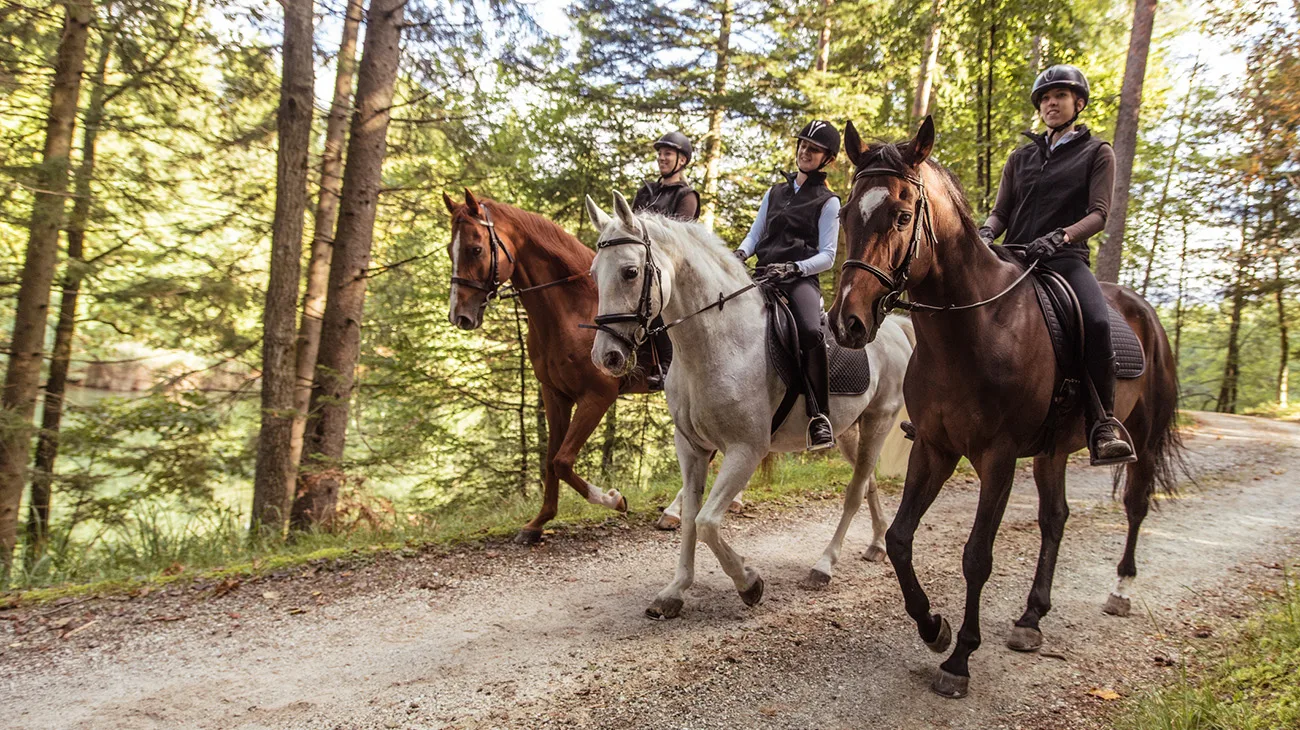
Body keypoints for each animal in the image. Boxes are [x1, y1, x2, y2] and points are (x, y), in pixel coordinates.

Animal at [444, 190, 647, 542]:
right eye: (449, 250)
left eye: (475, 249)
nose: (460, 316)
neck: (572, 309)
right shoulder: (555, 394)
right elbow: (552, 460)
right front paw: (538, 523)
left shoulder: (597, 396)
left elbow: (563, 461)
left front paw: (614, 499)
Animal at [590, 192, 915, 613]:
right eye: (594, 273)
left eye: (630, 272)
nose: (606, 357)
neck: (718, 342)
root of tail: (893, 328)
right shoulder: (691, 447)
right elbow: (692, 518)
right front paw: (675, 590)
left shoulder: (746, 449)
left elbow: (708, 522)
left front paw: (748, 582)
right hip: (847, 431)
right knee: (869, 481)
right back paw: (876, 544)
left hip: (879, 420)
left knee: (855, 492)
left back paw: (824, 565)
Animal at [826, 116, 1185, 696]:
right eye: (845, 214)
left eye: (902, 215)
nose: (847, 323)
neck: (974, 328)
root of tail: (1142, 309)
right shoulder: (934, 447)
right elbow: (901, 539)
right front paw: (933, 627)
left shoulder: (996, 458)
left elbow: (977, 556)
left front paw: (959, 660)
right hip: (1052, 452)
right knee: (1055, 518)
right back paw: (1031, 618)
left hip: (1144, 437)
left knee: (1136, 505)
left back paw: (1121, 589)